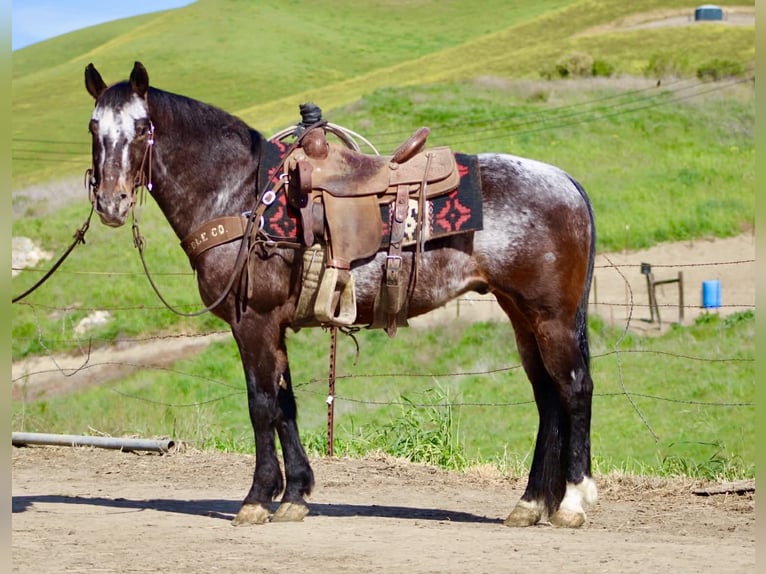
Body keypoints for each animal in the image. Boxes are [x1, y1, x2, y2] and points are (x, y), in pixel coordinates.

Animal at [83, 61, 597, 528]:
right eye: (93, 126)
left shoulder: (253, 322)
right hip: (522, 315)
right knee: (547, 396)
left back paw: (571, 503)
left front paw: (257, 498)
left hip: (550, 317)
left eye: (142, 127)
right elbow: (285, 406)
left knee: (574, 389)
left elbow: (261, 405)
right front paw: (295, 494)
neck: (241, 196)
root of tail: (566, 182)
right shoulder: (274, 327)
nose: (110, 203)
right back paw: (530, 504)